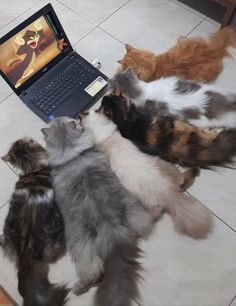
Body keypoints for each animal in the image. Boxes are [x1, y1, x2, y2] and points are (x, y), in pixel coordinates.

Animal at [41, 116, 154, 306]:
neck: (73, 155)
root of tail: (113, 234)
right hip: (136, 213)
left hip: (79, 246)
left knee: (93, 272)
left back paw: (78, 288)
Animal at [81, 109, 214, 239]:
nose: (81, 114)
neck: (105, 137)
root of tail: (168, 195)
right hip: (167, 170)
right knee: (183, 182)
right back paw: (196, 170)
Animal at [100, 94, 236, 169]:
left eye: (112, 96)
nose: (105, 96)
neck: (124, 117)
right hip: (181, 125)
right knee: (208, 135)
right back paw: (216, 128)